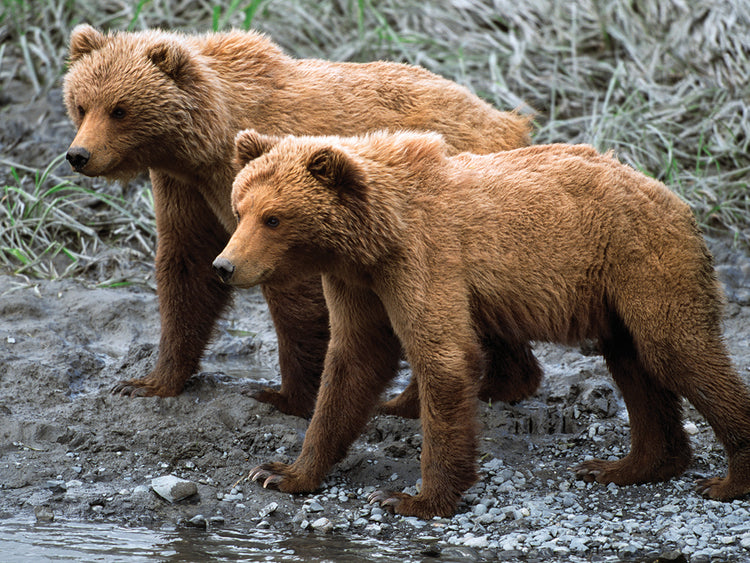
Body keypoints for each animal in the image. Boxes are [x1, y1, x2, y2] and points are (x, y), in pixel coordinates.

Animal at [62, 24, 538, 418]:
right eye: (81, 105)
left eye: (119, 109)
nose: (78, 155)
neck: (208, 139)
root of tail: (507, 120)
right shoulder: (185, 187)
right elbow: (187, 265)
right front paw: (148, 382)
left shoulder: (279, 196)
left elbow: (295, 295)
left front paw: (286, 396)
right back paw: (506, 381)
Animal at [212, 128, 750, 519]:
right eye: (241, 208)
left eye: (274, 218)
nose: (224, 265)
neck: (376, 237)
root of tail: (673, 198)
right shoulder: (357, 282)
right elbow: (352, 362)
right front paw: (281, 472)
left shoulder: (425, 259)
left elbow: (444, 359)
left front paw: (412, 499)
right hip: (616, 294)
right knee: (634, 365)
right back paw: (625, 466)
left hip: (644, 261)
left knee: (676, 351)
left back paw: (728, 479)